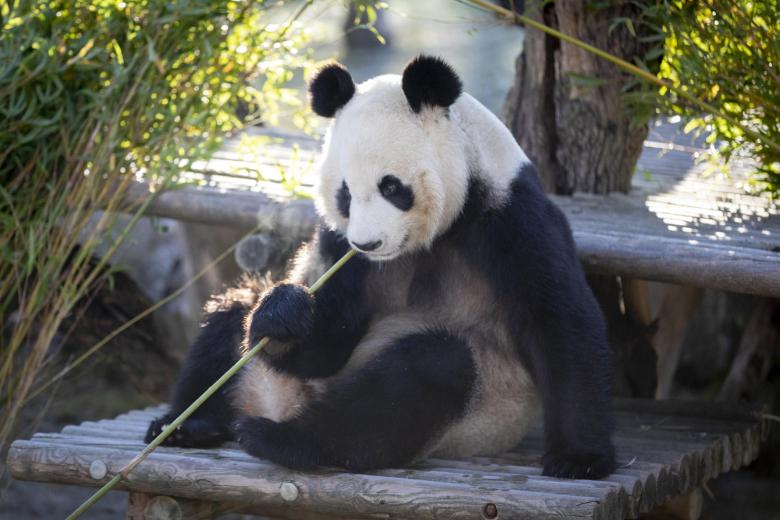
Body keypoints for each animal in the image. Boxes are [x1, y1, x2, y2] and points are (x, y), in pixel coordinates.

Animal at [146, 55, 616, 479]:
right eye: (345, 194)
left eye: (391, 187)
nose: (367, 243)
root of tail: (283, 406)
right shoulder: (337, 246)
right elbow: (329, 338)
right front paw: (284, 317)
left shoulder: (508, 218)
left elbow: (558, 323)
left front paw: (579, 459)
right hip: (266, 374)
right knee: (230, 317)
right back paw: (188, 424)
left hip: (479, 409)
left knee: (419, 378)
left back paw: (284, 440)